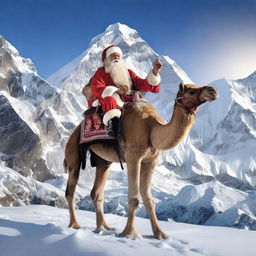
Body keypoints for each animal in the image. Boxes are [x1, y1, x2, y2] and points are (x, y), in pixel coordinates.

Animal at [64, 82, 218, 240]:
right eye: (192, 91)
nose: (213, 91)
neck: (152, 129)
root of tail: (76, 129)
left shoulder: (150, 161)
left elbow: (149, 199)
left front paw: (160, 234)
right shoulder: (133, 157)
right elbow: (134, 198)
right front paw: (130, 233)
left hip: (103, 161)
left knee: (96, 192)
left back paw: (104, 227)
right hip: (73, 151)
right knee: (70, 190)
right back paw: (75, 225)